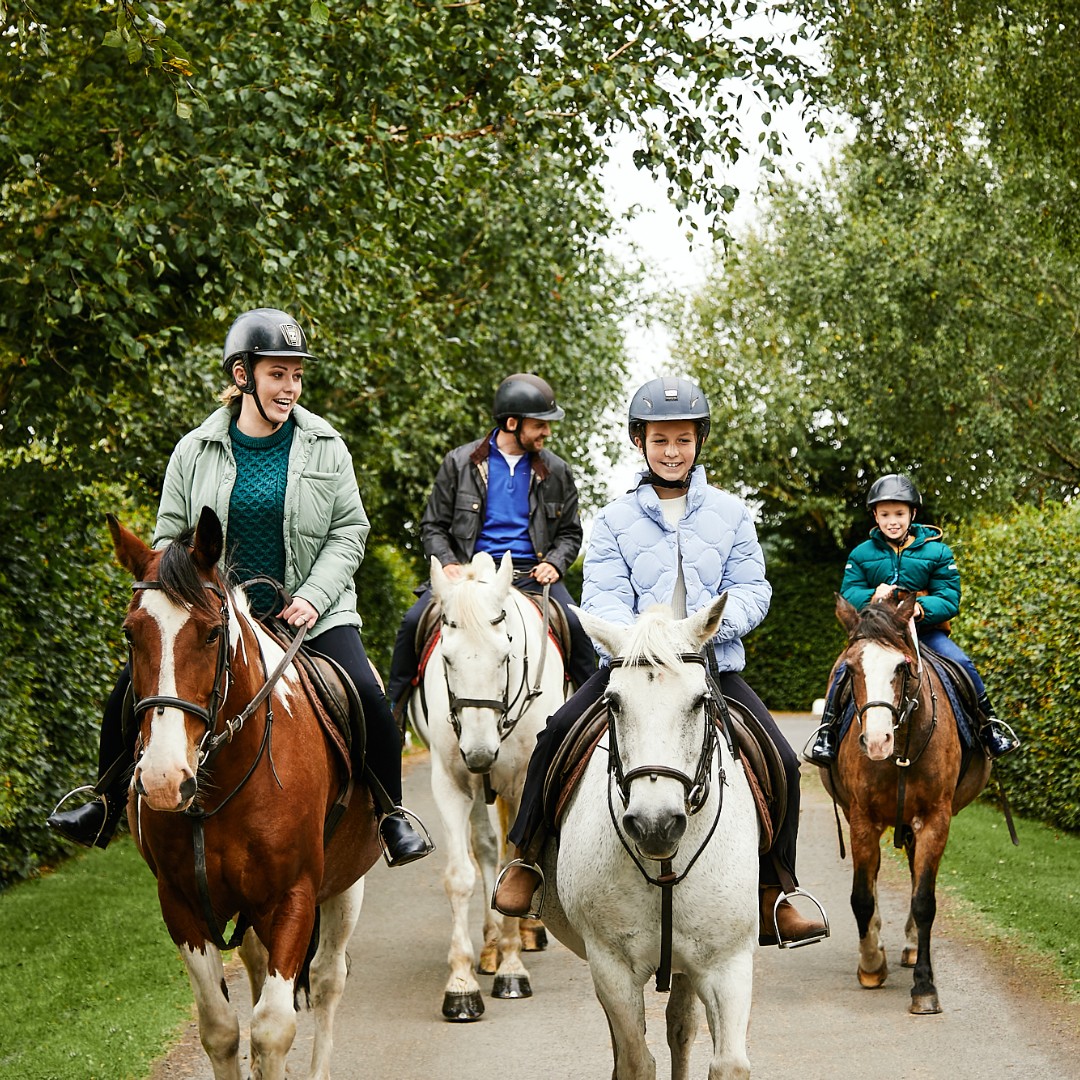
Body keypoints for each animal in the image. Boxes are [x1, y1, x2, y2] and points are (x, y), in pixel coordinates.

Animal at [111, 507, 382, 1080]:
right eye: (130, 633)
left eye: (212, 634)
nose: (163, 779)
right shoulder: (181, 903)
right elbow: (220, 1028)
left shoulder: (293, 896)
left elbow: (273, 1028)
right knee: (258, 967)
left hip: (346, 885)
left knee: (327, 980)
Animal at [406, 552, 570, 1015]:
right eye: (446, 658)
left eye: (505, 655)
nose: (480, 754)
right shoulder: (452, 784)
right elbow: (462, 874)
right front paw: (461, 984)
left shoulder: (523, 780)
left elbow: (515, 858)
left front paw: (513, 971)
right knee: (484, 850)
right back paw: (491, 944)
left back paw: (523, 935)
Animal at [535, 600, 756, 1080]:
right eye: (613, 703)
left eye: (700, 701)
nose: (656, 824)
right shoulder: (611, 967)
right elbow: (636, 1060)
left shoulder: (727, 963)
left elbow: (728, 1063)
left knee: (681, 1028)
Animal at [816, 596, 989, 1015]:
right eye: (851, 668)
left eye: (902, 667)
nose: (877, 741)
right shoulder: (862, 819)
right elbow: (862, 896)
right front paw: (871, 964)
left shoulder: (935, 819)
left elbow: (924, 899)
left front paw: (924, 986)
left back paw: (911, 946)